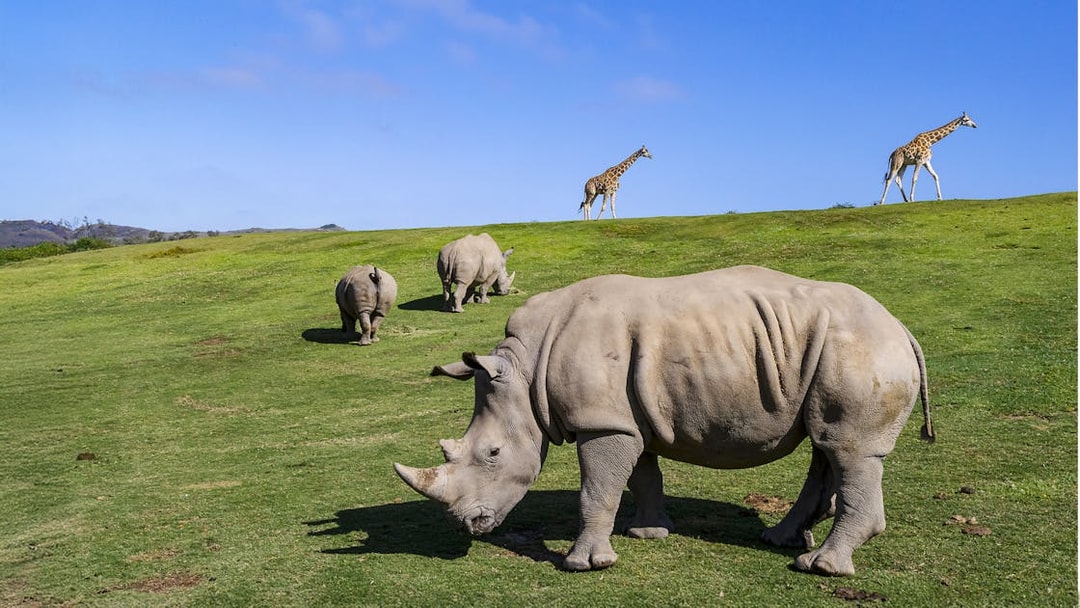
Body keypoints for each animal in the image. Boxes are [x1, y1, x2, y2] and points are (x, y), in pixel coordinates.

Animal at [394, 265, 934, 576]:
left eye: (492, 454)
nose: (467, 525)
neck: (526, 370)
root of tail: (901, 327)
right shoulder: (625, 418)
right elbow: (641, 476)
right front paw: (648, 533)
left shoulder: (603, 422)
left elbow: (597, 489)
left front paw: (584, 564)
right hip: (830, 350)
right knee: (826, 444)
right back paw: (780, 540)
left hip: (863, 349)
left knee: (849, 449)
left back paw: (820, 568)